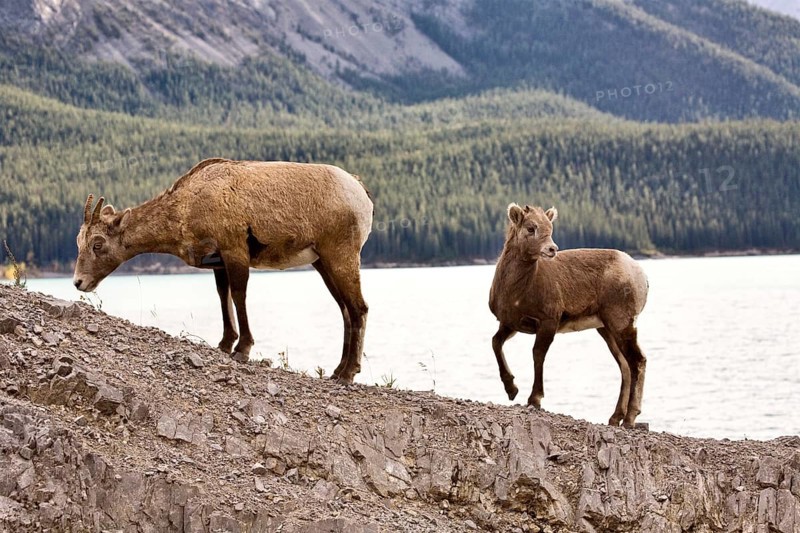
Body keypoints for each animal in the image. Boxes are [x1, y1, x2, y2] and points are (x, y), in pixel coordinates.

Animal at [74, 158, 373, 382]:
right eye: (78, 241)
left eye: (98, 244)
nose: (79, 282)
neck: (186, 208)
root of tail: (363, 195)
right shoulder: (218, 262)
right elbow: (223, 297)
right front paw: (225, 344)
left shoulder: (235, 252)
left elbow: (239, 297)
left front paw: (242, 350)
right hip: (322, 262)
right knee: (345, 310)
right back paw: (337, 371)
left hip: (341, 255)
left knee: (358, 307)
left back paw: (347, 375)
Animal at [489, 203, 649, 427]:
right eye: (531, 228)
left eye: (550, 228)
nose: (551, 249)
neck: (516, 293)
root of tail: (642, 277)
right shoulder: (510, 324)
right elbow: (496, 343)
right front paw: (512, 390)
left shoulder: (548, 322)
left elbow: (538, 355)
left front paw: (534, 399)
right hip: (606, 328)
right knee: (625, 366)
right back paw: (615, 417)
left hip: (621, 323)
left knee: (637, 361)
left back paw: (629, 418)